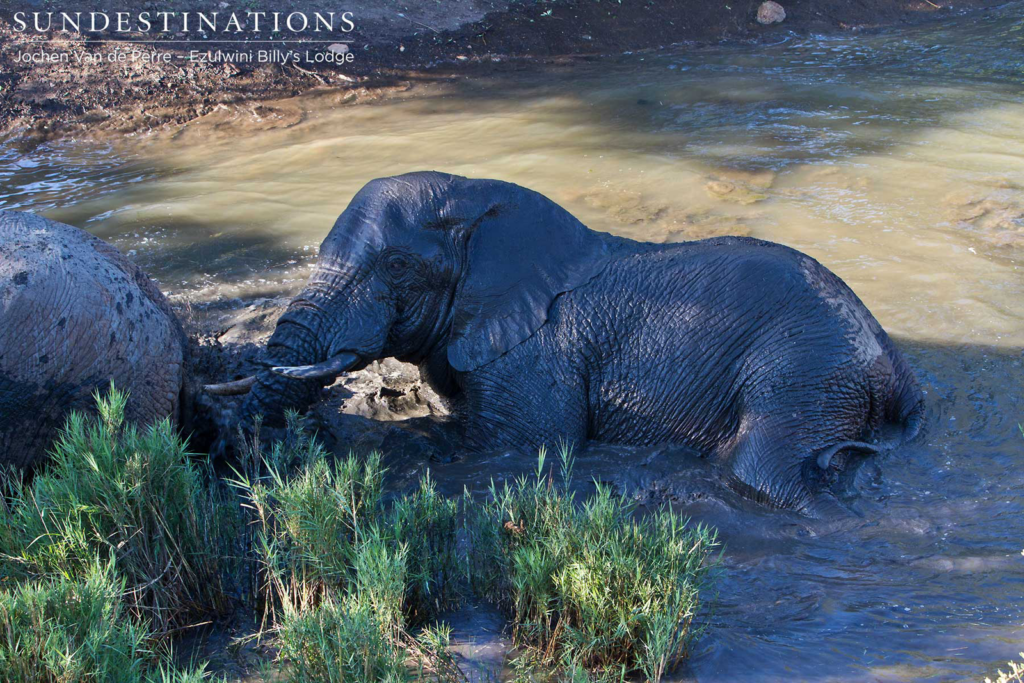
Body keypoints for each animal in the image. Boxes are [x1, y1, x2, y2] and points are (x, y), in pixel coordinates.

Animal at [214, 172, 925, 514]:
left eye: (396, 268)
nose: (232, 456)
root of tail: (893, 363)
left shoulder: (535, 357)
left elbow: (518, 448)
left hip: (805, 370)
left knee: (765, 473)